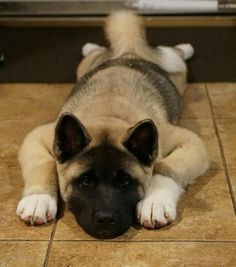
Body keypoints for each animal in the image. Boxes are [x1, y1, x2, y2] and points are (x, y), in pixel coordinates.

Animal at [16, 11, 208, 240]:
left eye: (125, 182)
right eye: (86, 181)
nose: (106, 220)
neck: (108, 113)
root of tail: (129, 52)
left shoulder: (190, 142)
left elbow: (165, 167)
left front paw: (155, 202)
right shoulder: (36, 137)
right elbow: (43, 164)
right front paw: (38, 198)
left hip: (179, 74)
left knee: (173, 54)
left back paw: (185, 47)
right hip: (86, 66)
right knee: (98, 52)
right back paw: (90, 46)